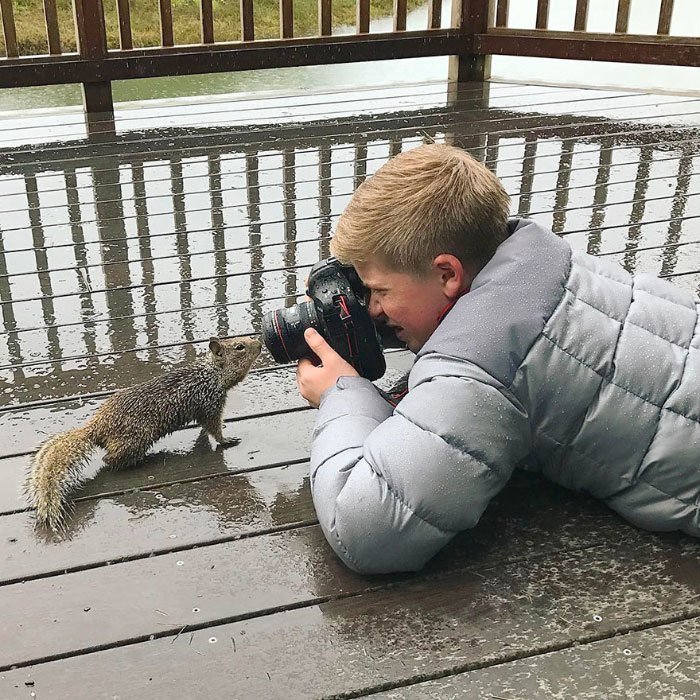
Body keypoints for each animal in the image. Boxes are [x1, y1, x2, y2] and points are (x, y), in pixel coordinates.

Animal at [26, 336, 262, 532]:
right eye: (239, 347)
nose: (259, 343)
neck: (212, 374)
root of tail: (98, 426)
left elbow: (204, 428)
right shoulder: (211, 402)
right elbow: (215, 428)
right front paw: (227, 440)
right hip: (135, 439)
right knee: (109, 460)